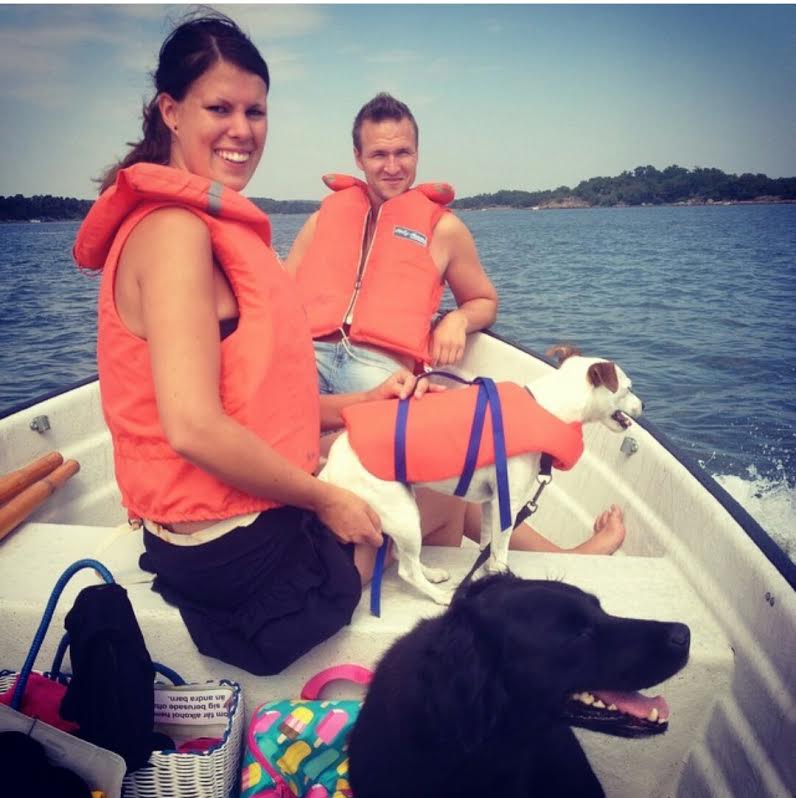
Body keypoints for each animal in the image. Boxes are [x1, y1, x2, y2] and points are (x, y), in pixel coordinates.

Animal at [318, 350, 640, 608]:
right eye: (627, 389)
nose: (643, 406)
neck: (547, 407)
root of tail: (330, 468)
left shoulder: (491, 502)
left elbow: (489, 542)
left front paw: (488, 572)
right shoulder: (508, 502)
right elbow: (502, 546)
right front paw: (501, 573)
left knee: (401, 555)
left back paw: (432, 574)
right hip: (402, 513)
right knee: (405, 569)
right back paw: (441, 596)